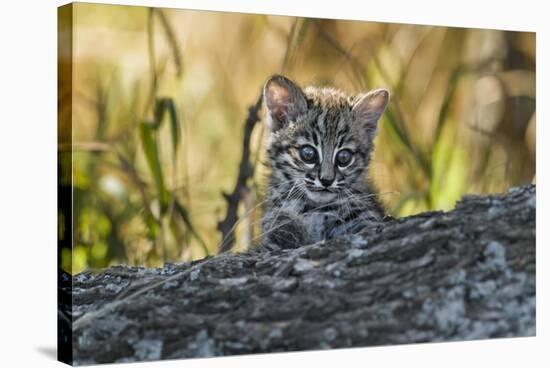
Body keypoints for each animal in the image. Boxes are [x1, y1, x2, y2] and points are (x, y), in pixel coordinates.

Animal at [260, 74, 390, 250]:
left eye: (344, 157)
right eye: (308, 154)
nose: (327, 181)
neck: (315, 209)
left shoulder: (363, 218)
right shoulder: (275, 224)